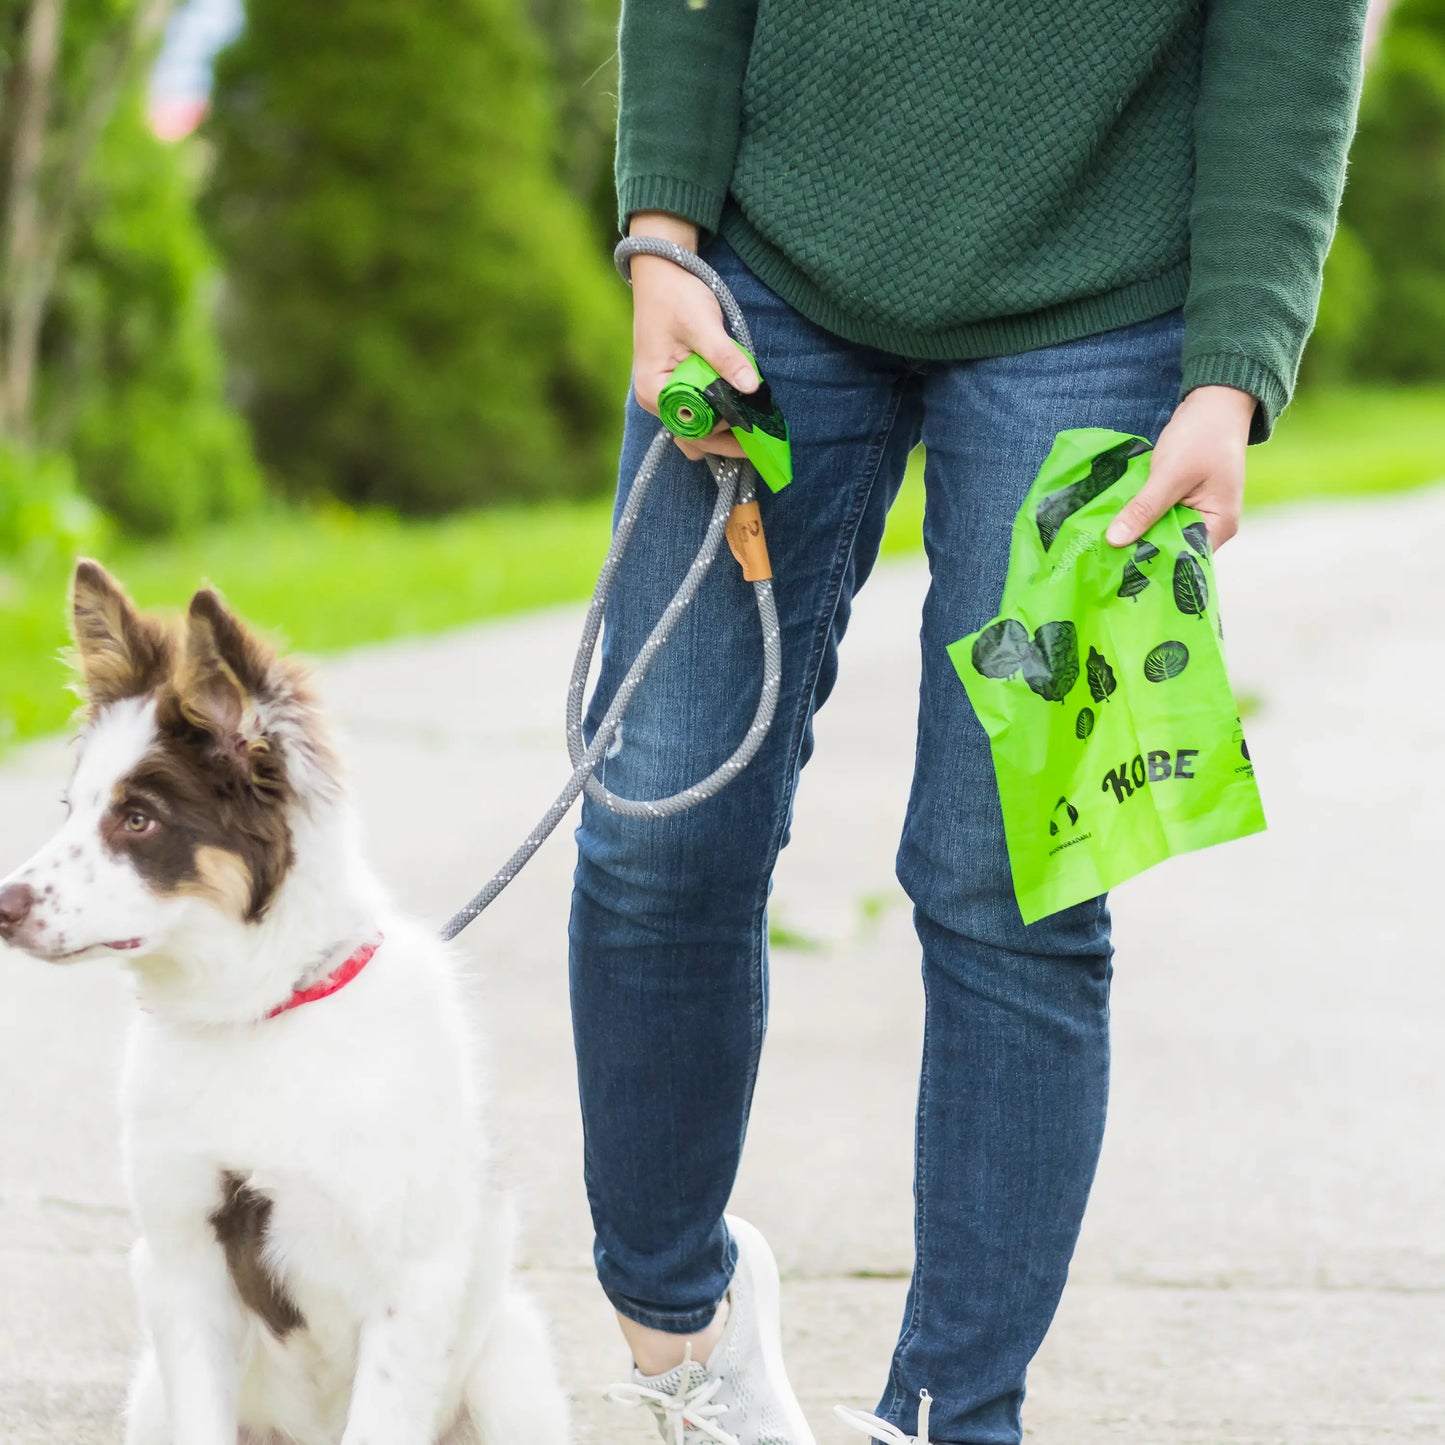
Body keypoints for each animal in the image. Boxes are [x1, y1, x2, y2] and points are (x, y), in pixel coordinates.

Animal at [0, 560, 572, 1445]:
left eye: (139, 818)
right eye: (73, 809)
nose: (0, 905)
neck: (259, 1015)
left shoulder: (408, 1285)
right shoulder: (181, 1262)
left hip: (511, 1370)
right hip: (150, 1393)